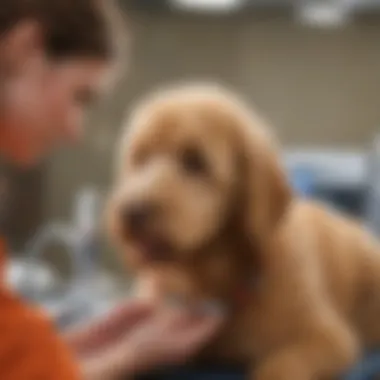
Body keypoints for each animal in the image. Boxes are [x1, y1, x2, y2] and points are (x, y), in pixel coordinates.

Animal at [107, 85, 380, 380]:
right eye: (139, 159)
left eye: (195, 161)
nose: (131, 213)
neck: (213, 276)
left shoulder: (328, 338)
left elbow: (280, 365)